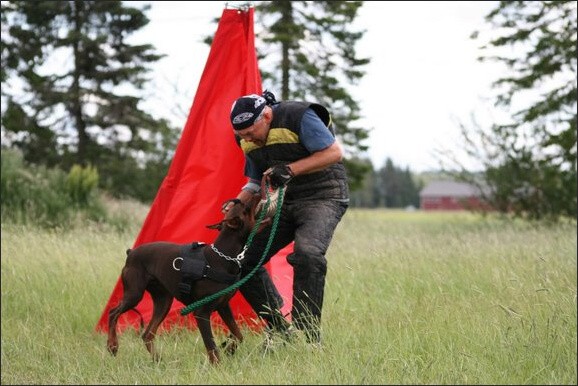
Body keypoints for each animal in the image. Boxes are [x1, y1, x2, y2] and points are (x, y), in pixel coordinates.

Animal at [106, 196, 268, 364]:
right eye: (246, 208)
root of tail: (131, 253)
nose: (257, 193)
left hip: (163, 301)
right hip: (134, 294)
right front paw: (218, 365)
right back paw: (113, 345)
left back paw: (159, 361)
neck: (223, 257)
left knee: (148, 334)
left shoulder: (223, 306)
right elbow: (212, 347)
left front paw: (230, 349)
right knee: (113, 313)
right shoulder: (201, 313)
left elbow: (238, 335)